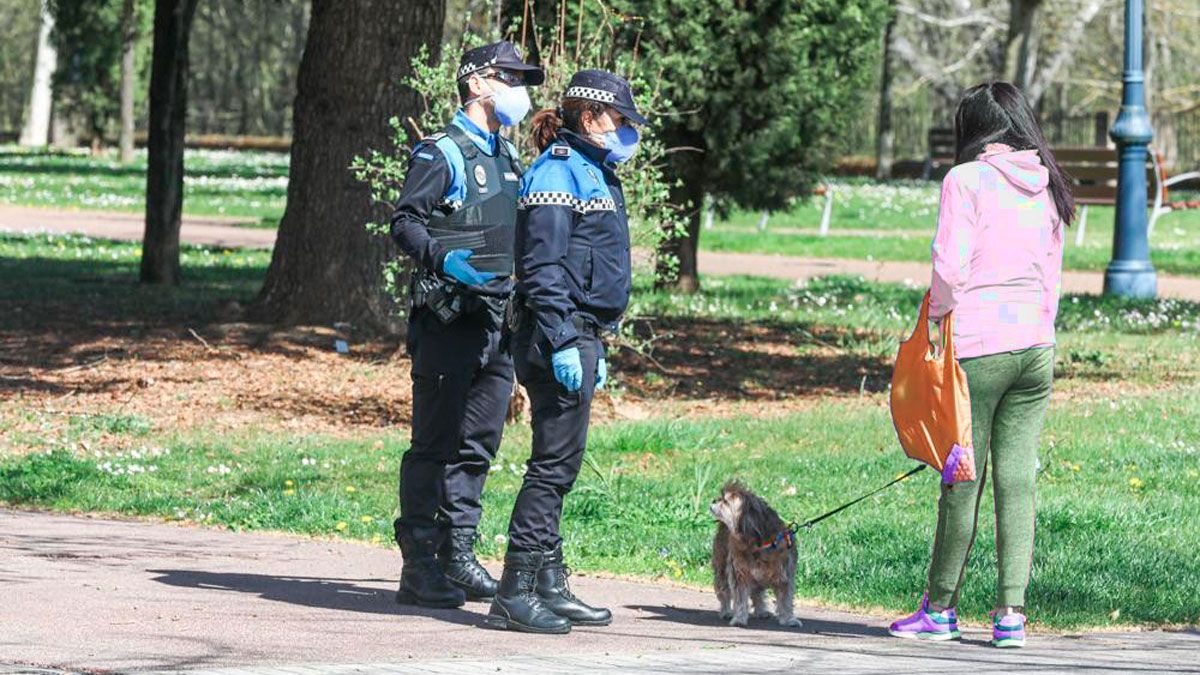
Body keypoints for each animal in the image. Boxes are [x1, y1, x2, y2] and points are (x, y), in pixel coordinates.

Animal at [705, 478, 801, 624]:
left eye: (725, 501)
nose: (715, 500)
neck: (759, 544)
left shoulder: (784, 575)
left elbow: (786, 599)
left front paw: (789, 619)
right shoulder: (739, 574)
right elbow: (740, 597)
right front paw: (739, 618)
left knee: (758, 595)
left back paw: (761, 611)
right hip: (721, 567)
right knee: (725, 591)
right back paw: (726, 611)